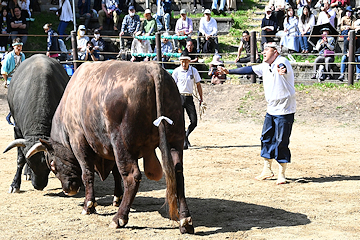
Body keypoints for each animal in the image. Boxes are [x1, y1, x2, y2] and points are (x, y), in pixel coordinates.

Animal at [3, 54, 69, 193]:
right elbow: (20, 159)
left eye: (48, 163)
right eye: (29, 163)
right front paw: (15, 184)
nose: (38, 186)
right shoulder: (17, 130)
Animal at [27, 60, 195, 234]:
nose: (68, 190)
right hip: (175, 141)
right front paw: (116, 197)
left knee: (132, 176)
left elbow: (87, 174)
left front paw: (89, 205)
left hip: (122, 143)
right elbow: (115, 173)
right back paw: (185, 220)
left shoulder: (79, 142)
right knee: (178, 173)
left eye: (52, 165)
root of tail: (153, 68)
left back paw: (119, 218)